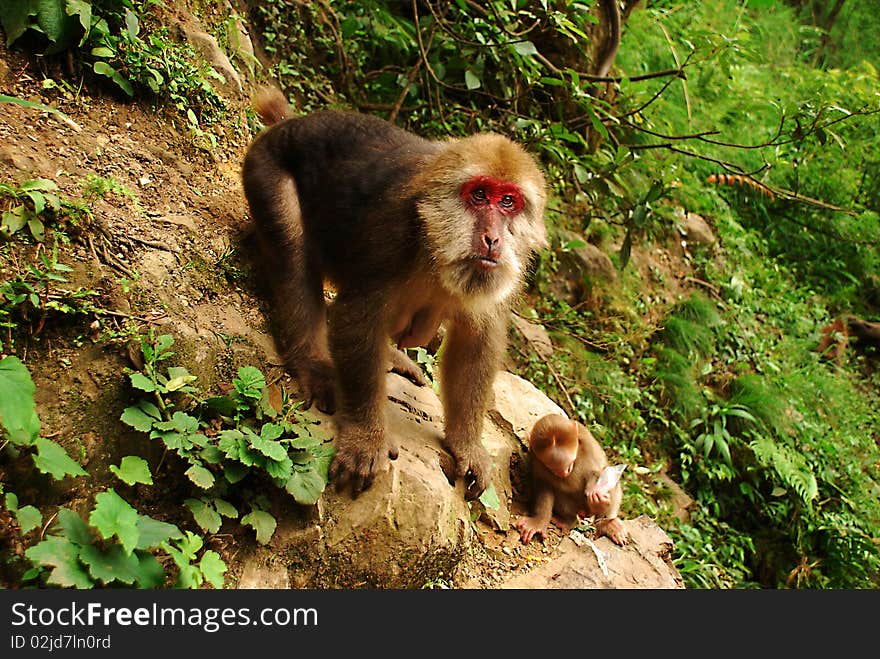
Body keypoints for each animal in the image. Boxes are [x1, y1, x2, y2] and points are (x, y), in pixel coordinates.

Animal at [239, 89, 544, 500]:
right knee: (292, 250)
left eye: (508, 201)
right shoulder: (392, 229)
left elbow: (477, 341)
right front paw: (365, 438)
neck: (435, 244)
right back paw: (312, 361)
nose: (493, 238)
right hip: (265, 168)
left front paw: (465, 443)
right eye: (479, 195)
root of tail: (292, 123)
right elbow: (358, 319)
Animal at [516, 416, 624, 548]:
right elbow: (544, 485)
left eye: (569, 464)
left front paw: (599, 502)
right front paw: (538, 522)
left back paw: (606, 524)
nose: (563, 473)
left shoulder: (589, 445)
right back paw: (567, 520)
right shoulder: (535, 458)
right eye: (553, 467)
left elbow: (598, 472)